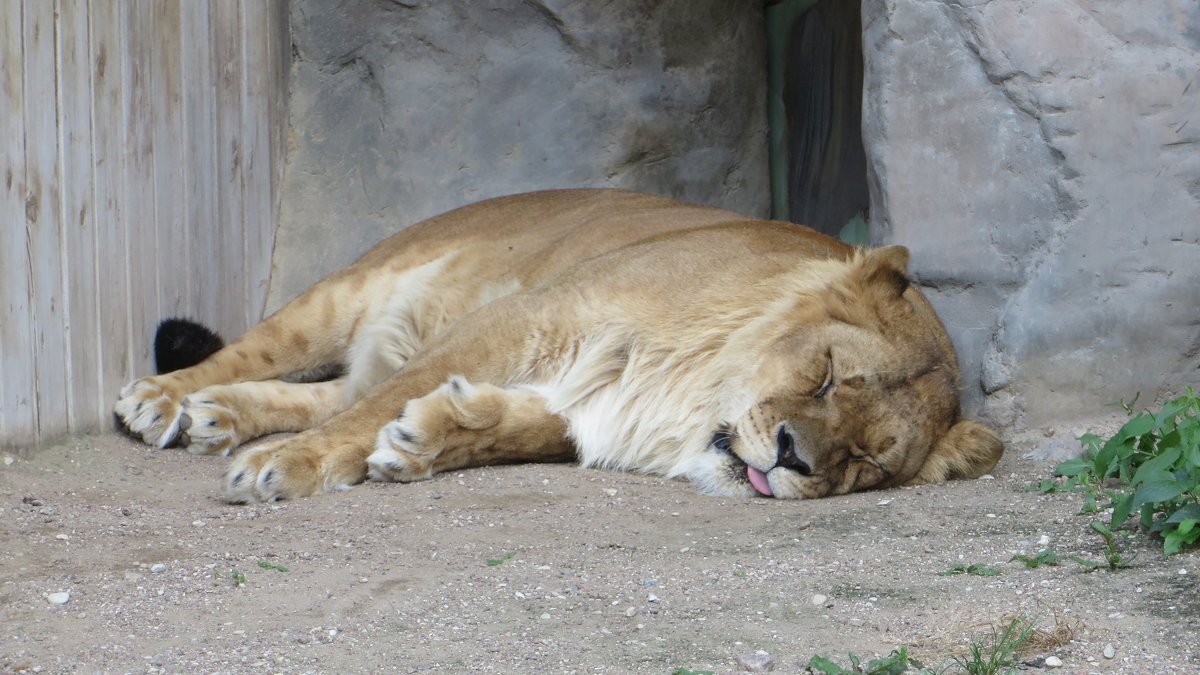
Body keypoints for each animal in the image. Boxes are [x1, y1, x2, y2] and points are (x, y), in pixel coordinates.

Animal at [119, 187, 1003, 499]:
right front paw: (289, 465)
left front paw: (422, 440)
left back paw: (218, 416)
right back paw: (163, 401)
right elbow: (370, 409)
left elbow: (499, 427)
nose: (792, 456)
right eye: (822, 376)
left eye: (865, 461)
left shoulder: (595, 400)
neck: (687, 399)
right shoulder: (528, 315)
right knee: (264, 351)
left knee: (330, 389)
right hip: (349, 290)